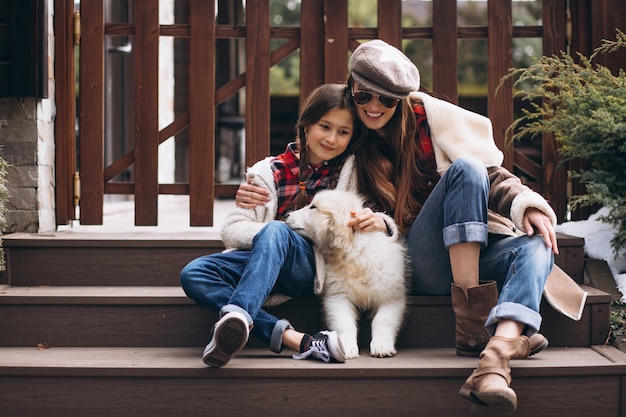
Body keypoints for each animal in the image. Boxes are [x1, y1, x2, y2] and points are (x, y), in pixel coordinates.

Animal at [286, 189, 408, 358]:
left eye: (313, 207)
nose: (287, 214)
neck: (354, 254)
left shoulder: (390, 296)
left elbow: (383, 321)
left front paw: (382, 346)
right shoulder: (337, 297)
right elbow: (345, 324)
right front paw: (346, 347)